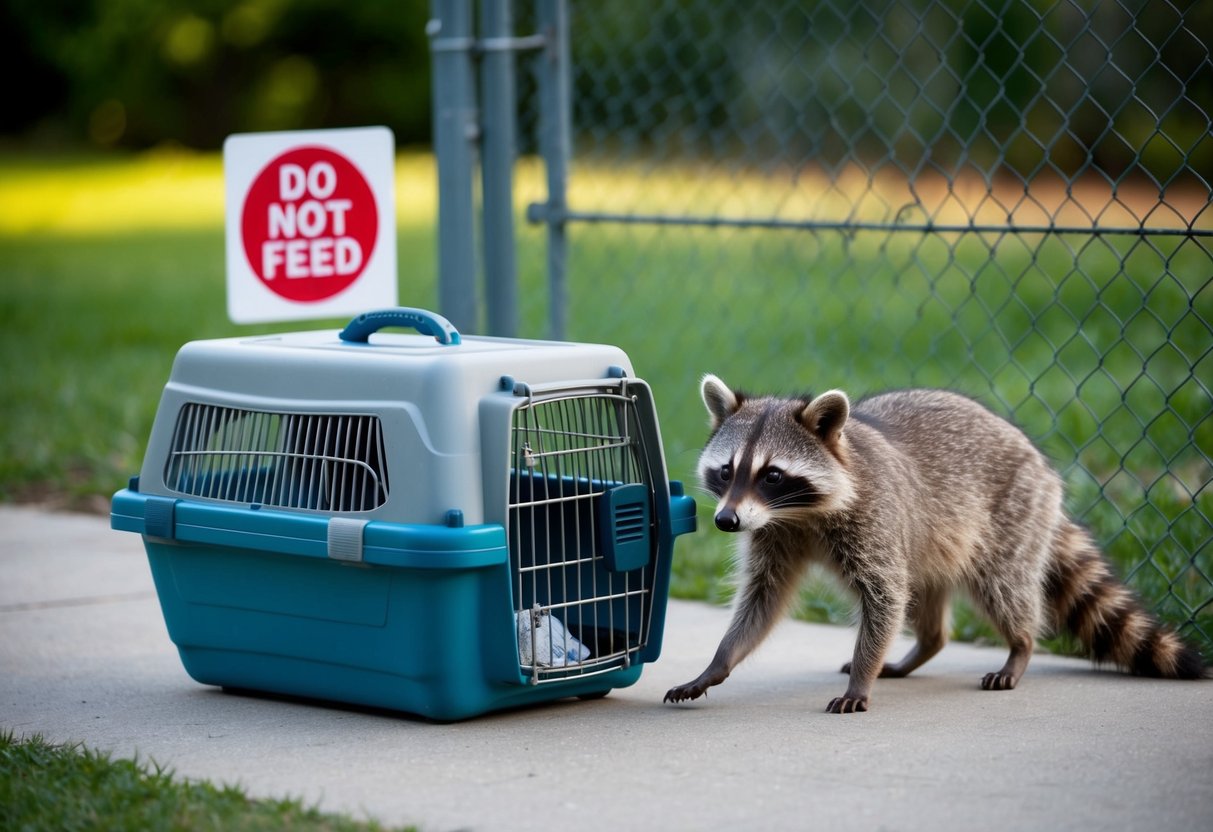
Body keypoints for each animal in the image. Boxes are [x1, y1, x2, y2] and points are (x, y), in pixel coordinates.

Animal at [664, 375, 1206, 714]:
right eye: (727, 470)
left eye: (772, 475)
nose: (726, 521)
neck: (797, 514)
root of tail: (1039, 462)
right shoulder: (775, 536)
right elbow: (763, 599)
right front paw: (718, 662)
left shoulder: (873, 520)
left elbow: (884, 596)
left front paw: (862, 675)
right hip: (935, 542)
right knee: (926, 596)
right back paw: (923, 647)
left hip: (1010, 516)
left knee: (1003, 587)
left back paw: (1021, 646)